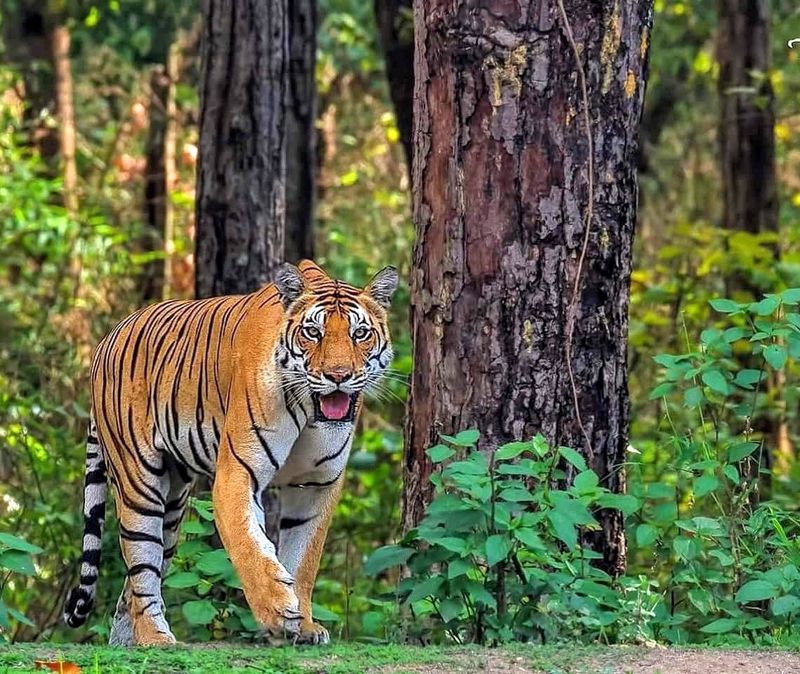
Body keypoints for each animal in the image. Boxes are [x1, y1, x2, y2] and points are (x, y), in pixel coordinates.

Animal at [63, 260, 398, 646]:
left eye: (360, 333)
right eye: (312, 332)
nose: (338, 376)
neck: (310, 412)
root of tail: (105, 341)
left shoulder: (316, 485)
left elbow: (304, 559)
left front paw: (305, 626)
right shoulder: (237, 473)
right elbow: (248, 543)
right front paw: (279, 611)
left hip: (173, 505)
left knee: (133, 588)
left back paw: (128, 643)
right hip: (139, 486)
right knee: (142, 567)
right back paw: (155, 638)